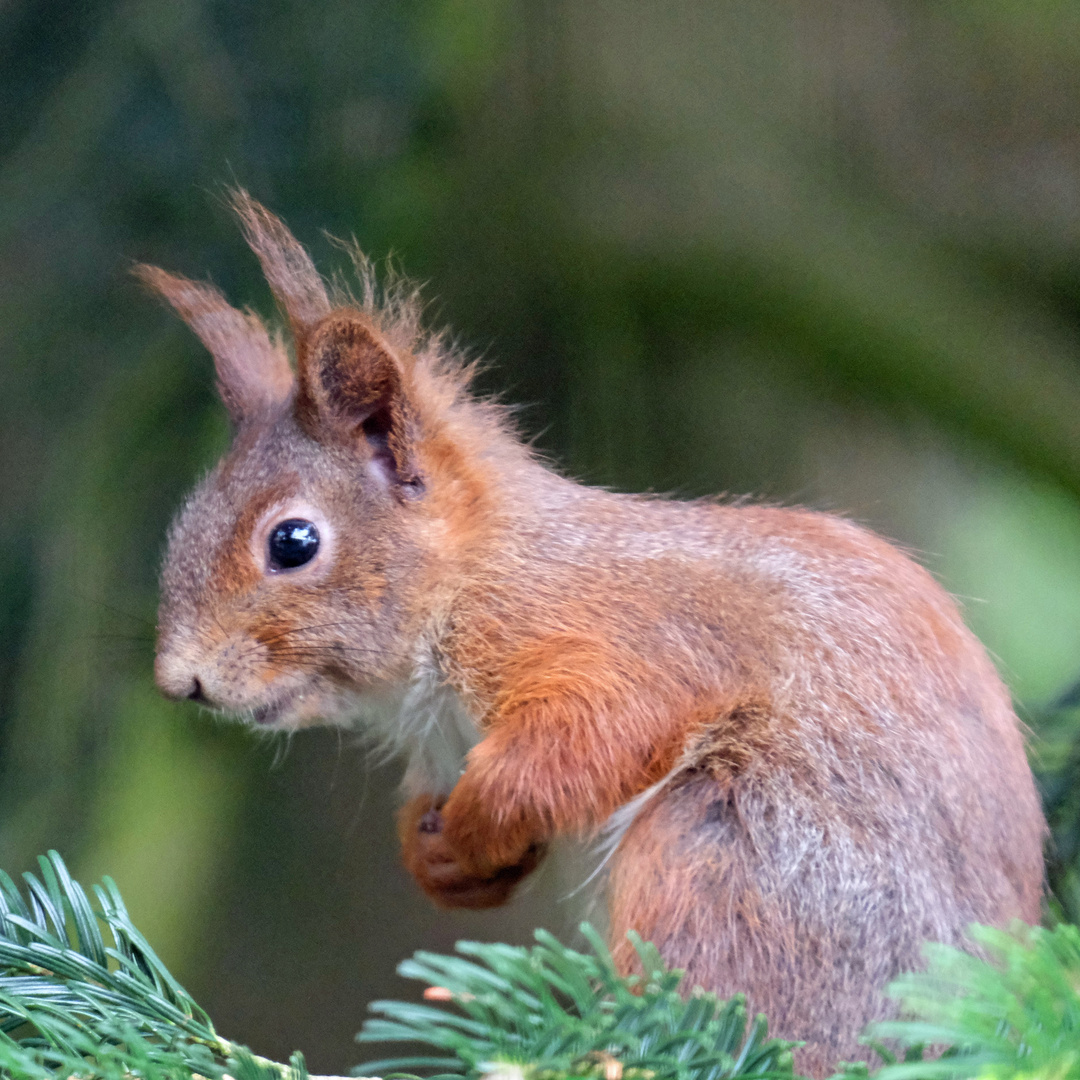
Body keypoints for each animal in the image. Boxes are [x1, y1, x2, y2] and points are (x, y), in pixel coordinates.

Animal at [143, 192, 1046, 1076]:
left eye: (293, 542)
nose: (177, 681)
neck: (463, 586)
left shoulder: (622, 633)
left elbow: (598, 734)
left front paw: (476, 818)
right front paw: (440, 860)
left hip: (731, 856)